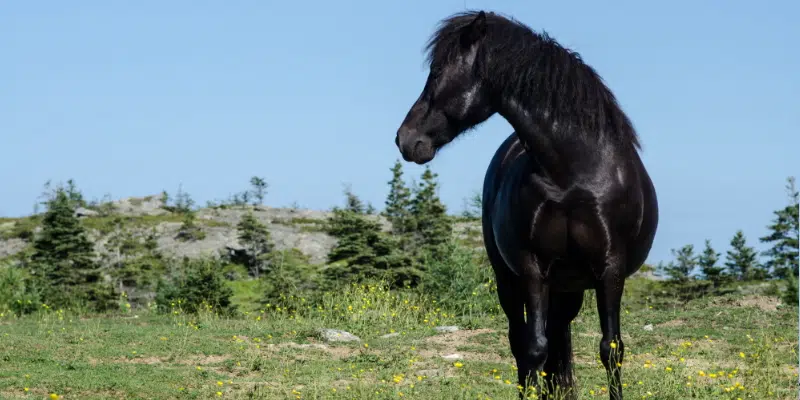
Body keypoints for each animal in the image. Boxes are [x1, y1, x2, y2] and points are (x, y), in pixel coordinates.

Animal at [392, 10, 656, 398]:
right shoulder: (533, 269)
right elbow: (534, 348)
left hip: (568, 287)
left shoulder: (611, 268)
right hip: (510, 279)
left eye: (437, 73)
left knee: (559, 339)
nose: (406, 139)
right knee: (523, 340)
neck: (574, 173)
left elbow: (611, 348)